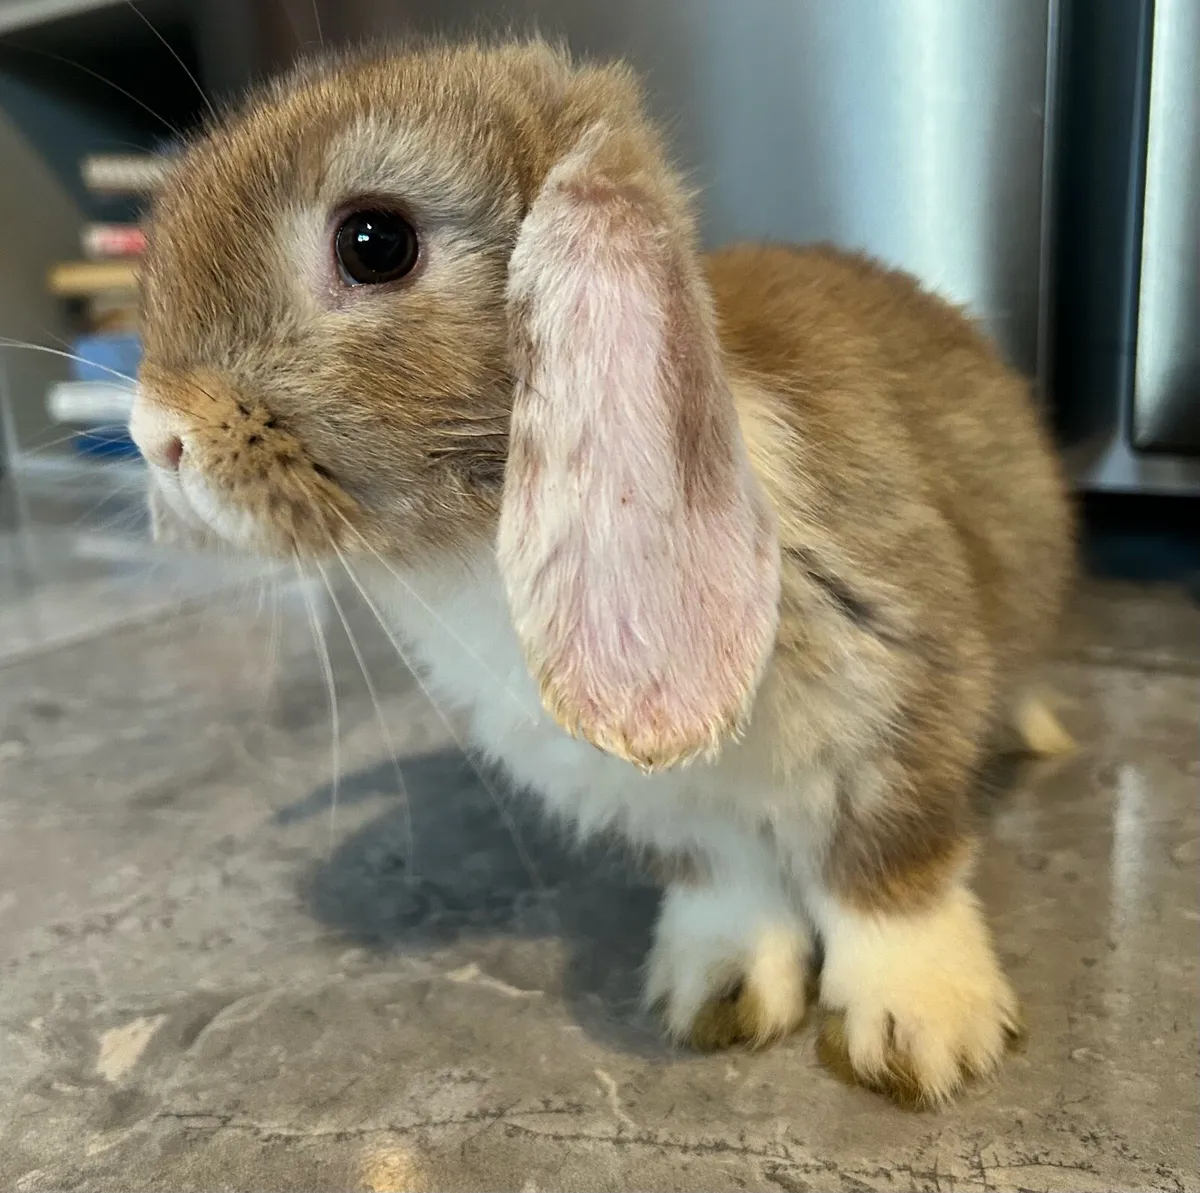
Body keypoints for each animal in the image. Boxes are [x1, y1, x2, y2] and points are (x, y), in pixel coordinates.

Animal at [128, 39, 1075, 1107]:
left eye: (374, 242)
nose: (155, 435)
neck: (473, 547)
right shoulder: (680, 817)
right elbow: (730, 887)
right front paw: (716, 996)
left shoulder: (897, 701)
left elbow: (885, 880)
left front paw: (920, 1034)